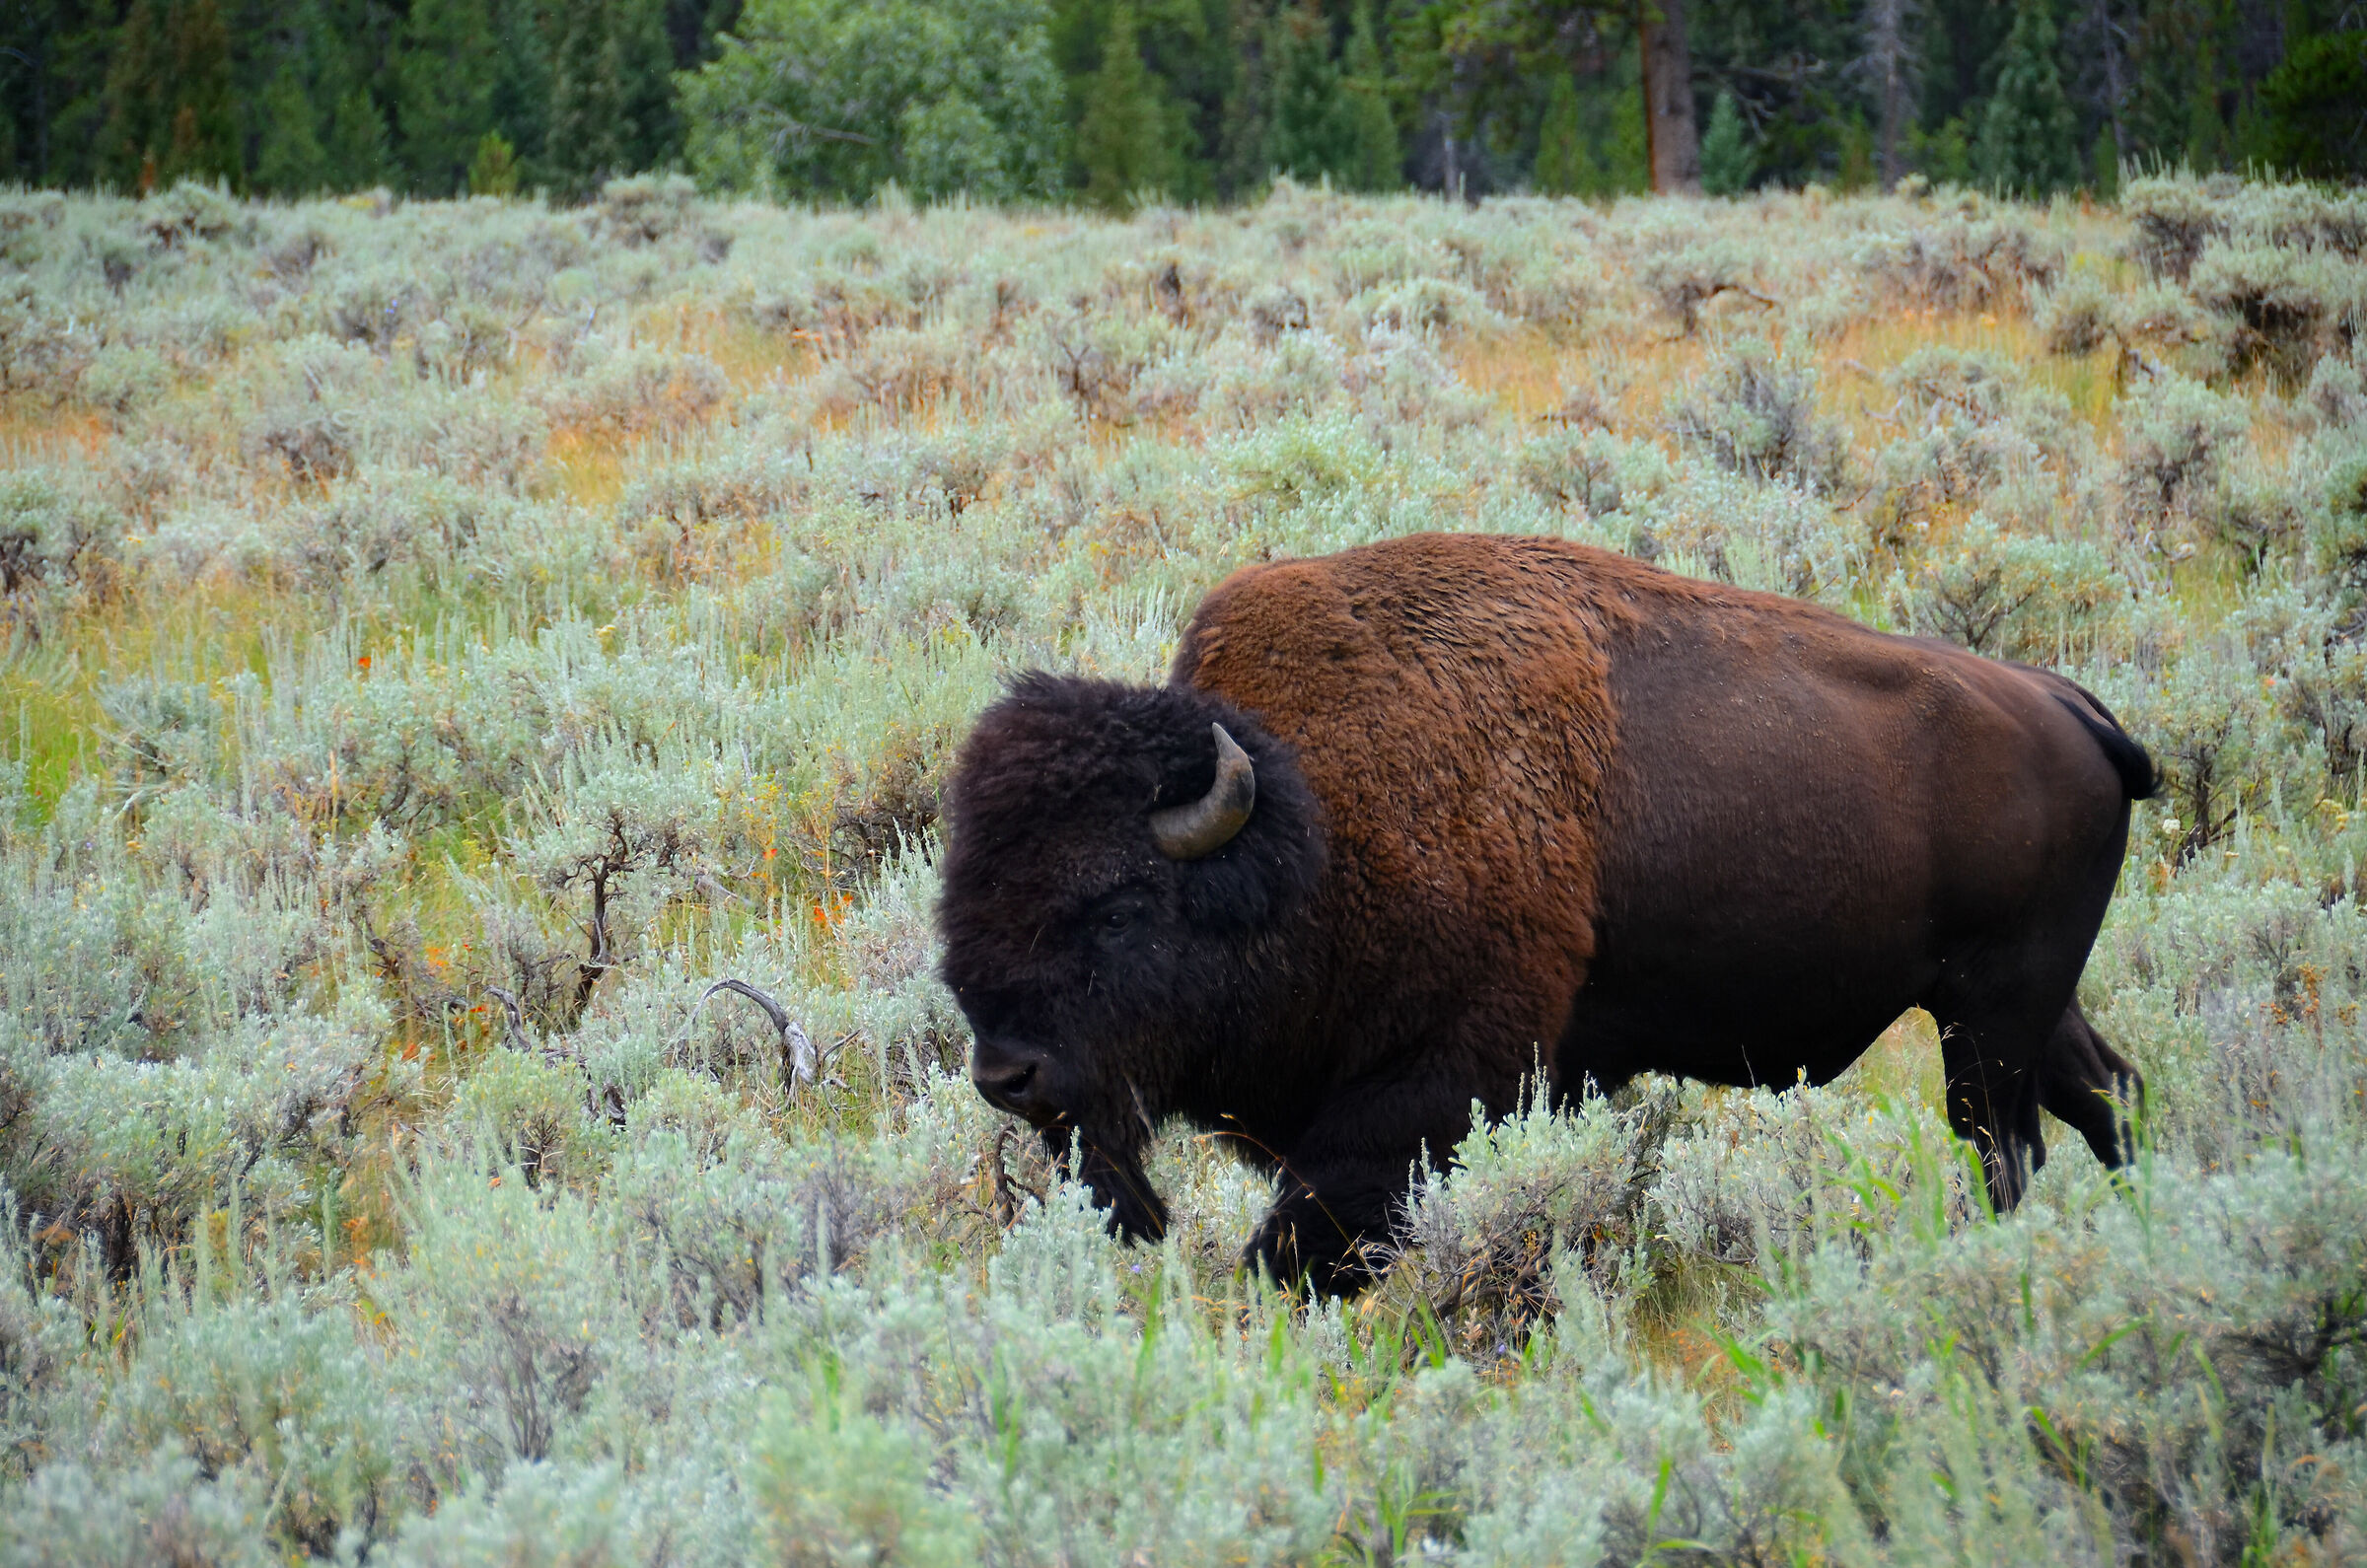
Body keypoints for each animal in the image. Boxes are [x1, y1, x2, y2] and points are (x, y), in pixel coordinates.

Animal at [937, 533, 2154, 1294]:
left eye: (1117, 909)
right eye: (963, 887)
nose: (1007, 1075)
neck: (1314, 822)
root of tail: (2070, 705)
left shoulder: (1425, 1087)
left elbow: (1304, 1243)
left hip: (1990, 1018)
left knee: (2005, 1142)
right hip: (2016, 1005)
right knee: (2105, 1092)